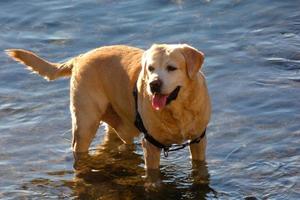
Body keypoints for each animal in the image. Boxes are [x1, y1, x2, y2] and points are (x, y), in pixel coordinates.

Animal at [5, 43, 211, 173]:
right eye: (150, 68)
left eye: (171, 68)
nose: (153, 84)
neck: (177, 110)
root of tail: (79, 58)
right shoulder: (151, 144)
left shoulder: (198, 139)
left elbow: (199, 165)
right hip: (85, 122)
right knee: (79, 146)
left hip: (119, 123)